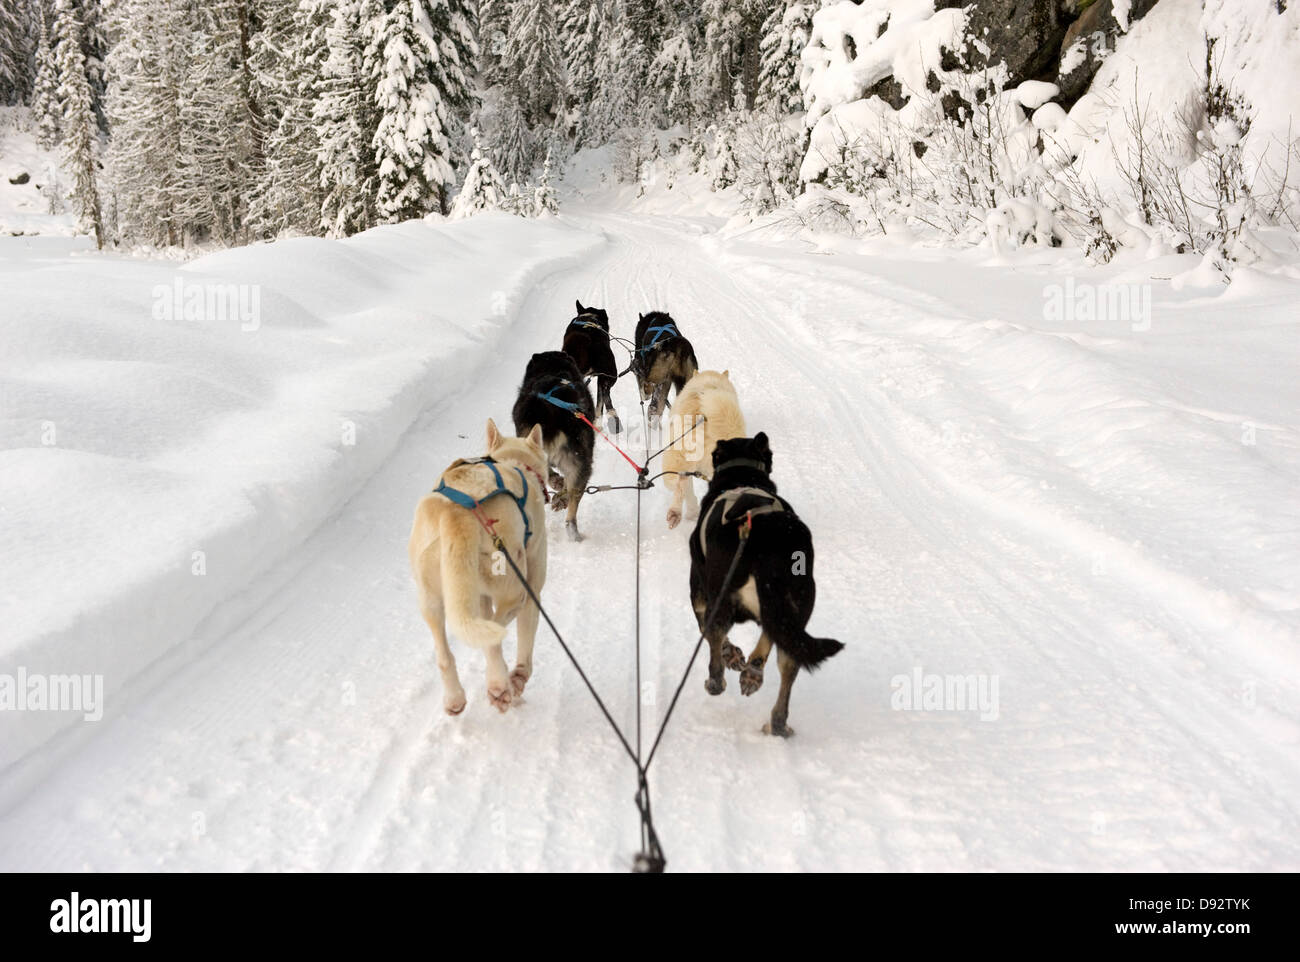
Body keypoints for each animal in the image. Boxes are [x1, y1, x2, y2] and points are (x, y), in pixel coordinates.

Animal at [691, 428, 842, 738]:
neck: (742, 477)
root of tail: (768, 536)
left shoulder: (699, 593)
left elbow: (708, 631)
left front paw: (731, 655)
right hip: (795, 607)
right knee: (786, 656)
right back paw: (773, 711)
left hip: (721, 596)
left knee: (716, 638)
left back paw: (717, 680)